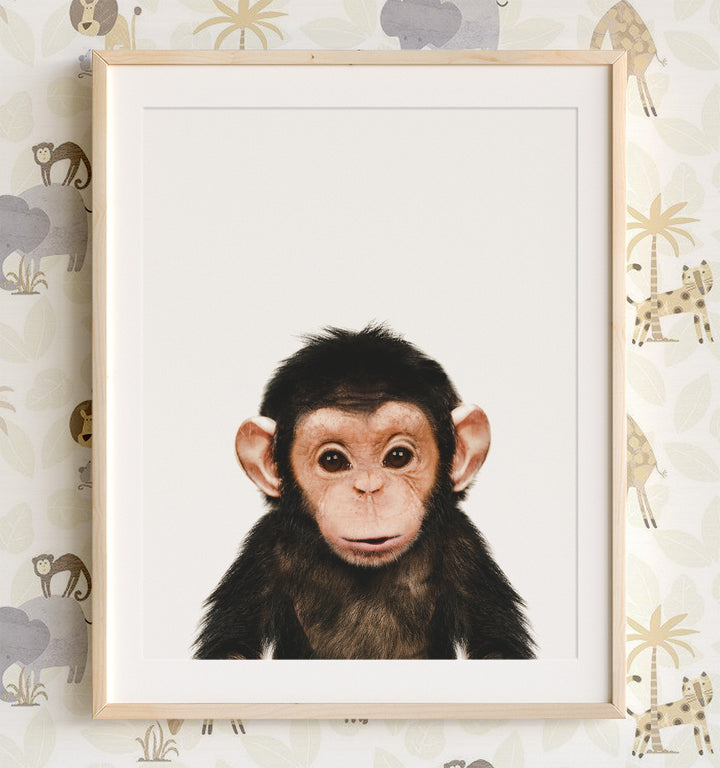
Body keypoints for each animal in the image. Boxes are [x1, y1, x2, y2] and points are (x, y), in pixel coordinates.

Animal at [194, 325, 535, 660]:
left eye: (398, 457)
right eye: (332, 461)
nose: (369, 488)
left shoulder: (463, 547)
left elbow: (496, 646)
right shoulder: (264, 549)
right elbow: (232, 647)